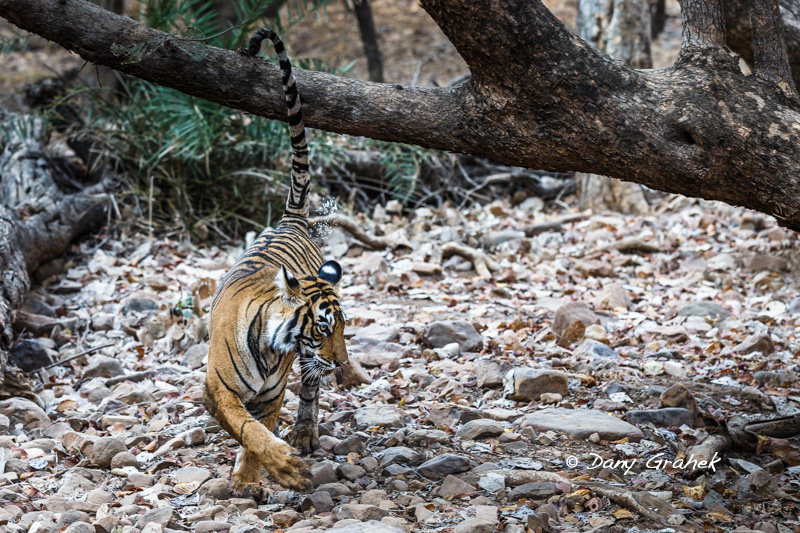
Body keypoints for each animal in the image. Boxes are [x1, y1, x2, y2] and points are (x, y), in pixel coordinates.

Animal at [202, 28, 348, 494]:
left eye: (343, 328)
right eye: (322, 327)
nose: (342, 363)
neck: (269, 346)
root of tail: (292, 218)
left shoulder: (272, 393)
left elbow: (260, 429)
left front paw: (251, 478)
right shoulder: (216, 389)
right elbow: (246, 428)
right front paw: (281, 468)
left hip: (307, 372)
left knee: (311, 390)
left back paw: (304, 434)